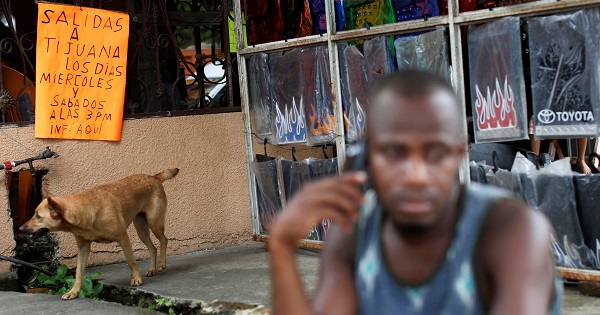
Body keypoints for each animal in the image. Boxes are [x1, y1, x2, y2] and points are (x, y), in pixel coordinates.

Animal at [19, 169, 179, 300]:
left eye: (37, 216)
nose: (20, 228)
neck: (85, 212)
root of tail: (154, 177)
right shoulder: (83, 248)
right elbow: (78, 272)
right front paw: (74, 292)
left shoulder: (123, 238)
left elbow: (131, 261)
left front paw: (136, 279)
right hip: (141, 230)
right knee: (153, 248)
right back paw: (152, 269)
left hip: (154, 222)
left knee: (164, 240)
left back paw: (161, 263)